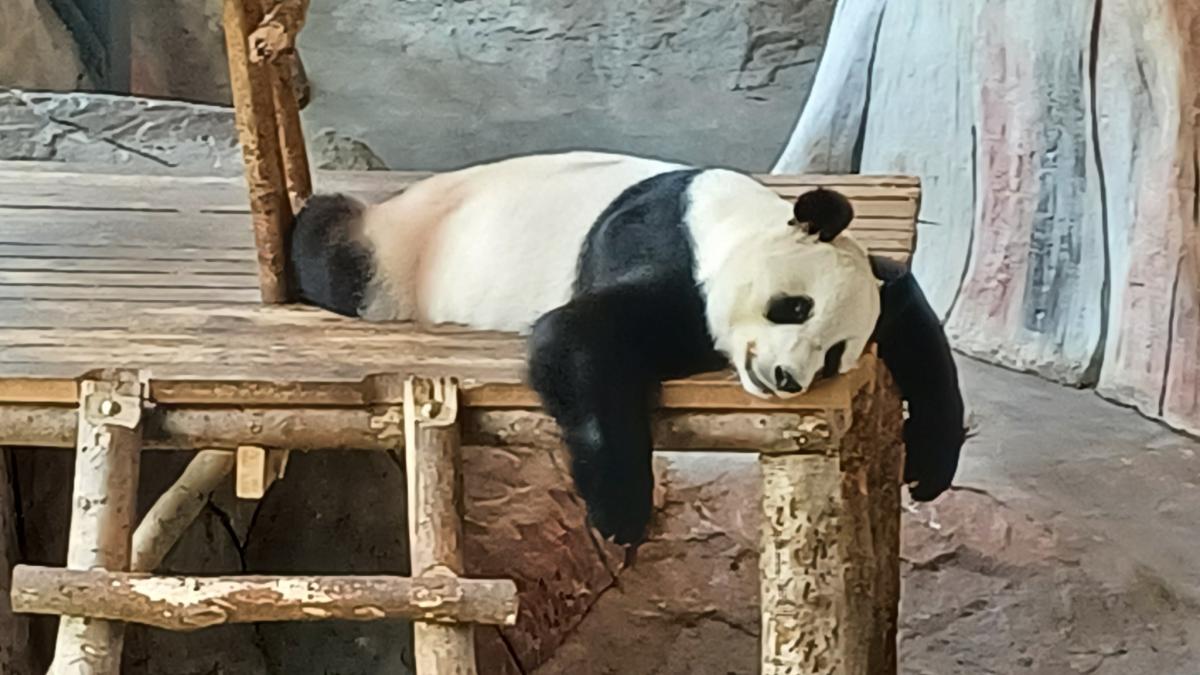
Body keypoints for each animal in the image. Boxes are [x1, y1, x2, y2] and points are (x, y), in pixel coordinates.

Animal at [289, 151, 965, 545]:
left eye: (831, 357)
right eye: (794, 306)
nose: (785, 377)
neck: (735, 220)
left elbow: (909, 312)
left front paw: (930, 465)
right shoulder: (663, 239)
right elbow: (578, 338)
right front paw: (620, 510)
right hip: (399, 257)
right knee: (334, 253)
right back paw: (317, 217)